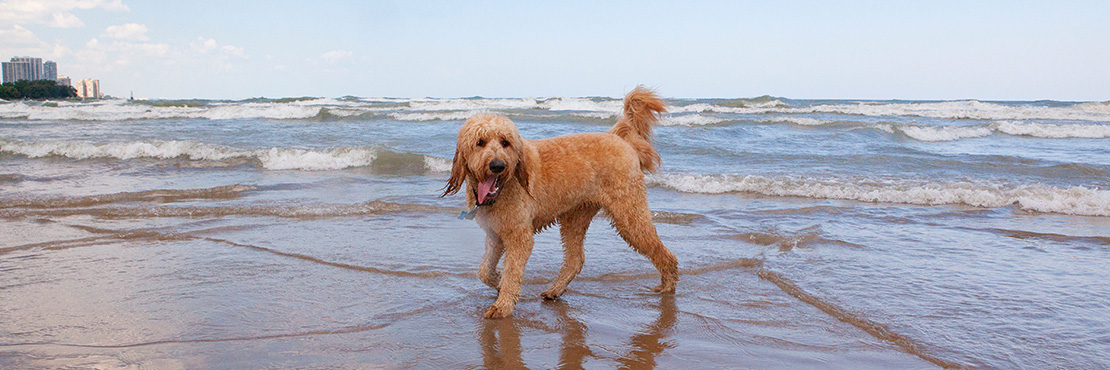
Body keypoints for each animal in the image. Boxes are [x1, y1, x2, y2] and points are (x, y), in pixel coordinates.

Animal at [441, 85, 674, 317]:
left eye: (505, 142)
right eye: (480, 142)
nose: (497, 165)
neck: (503, 188)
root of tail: (621, 139)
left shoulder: (519, 237)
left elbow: (512, 272)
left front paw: (503, 305)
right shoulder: (495, 235)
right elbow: (484, 271)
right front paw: (498, 283)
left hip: (629, 215)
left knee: (661, 250)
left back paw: (668, 285)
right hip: (575, 217)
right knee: (575, 260)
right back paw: (555, 290)